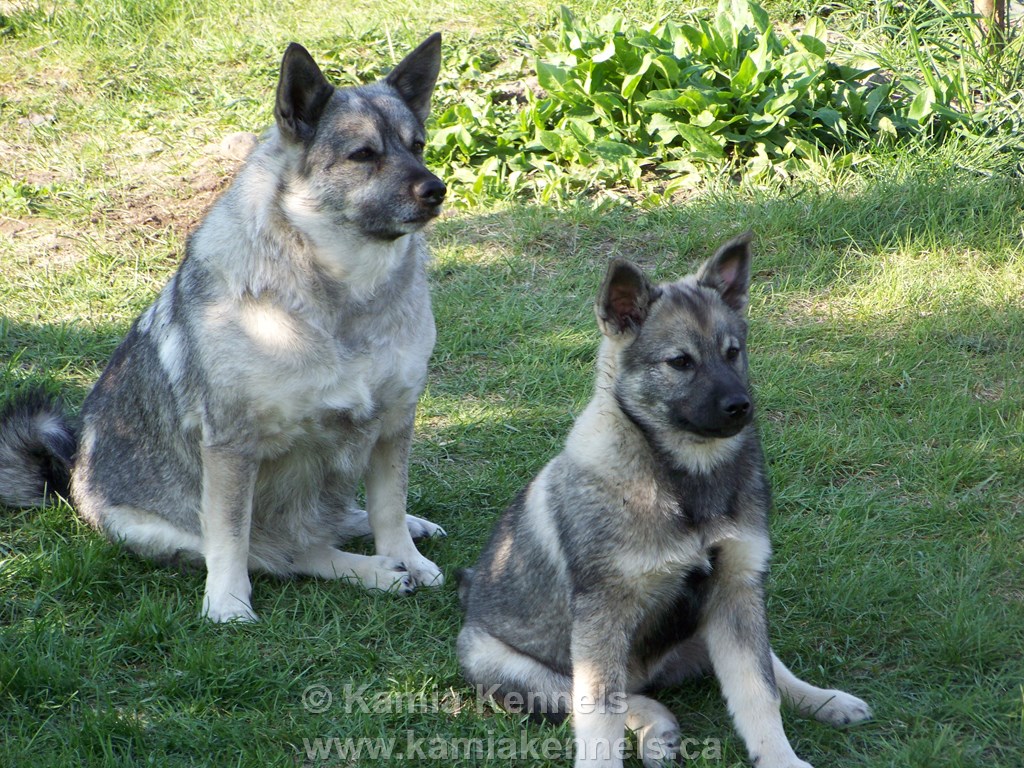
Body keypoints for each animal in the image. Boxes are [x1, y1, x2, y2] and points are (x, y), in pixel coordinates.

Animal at [0, 34, 450, 623]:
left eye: (418, 145)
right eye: (364, 155)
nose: (436, 189)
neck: (342, 296)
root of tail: (70, 473)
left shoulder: (394, 422)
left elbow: (388, 510)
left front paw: (409, 556)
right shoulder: (233, 449)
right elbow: (233, 538)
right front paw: (230, 605)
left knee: (332, 524)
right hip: (167, 529)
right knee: (288, 552)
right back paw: (373, 572)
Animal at [456, 233, 871, 768]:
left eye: (733, 352)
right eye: (680, 362)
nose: (741, 406)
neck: (684, 478)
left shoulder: (736, 589)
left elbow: (759, 691)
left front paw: (781, 758)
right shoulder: (603, 618)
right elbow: (600, 715)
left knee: (770, 668)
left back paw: (824, 700)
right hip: (514, 667)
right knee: (612, 697)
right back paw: (658, 730)